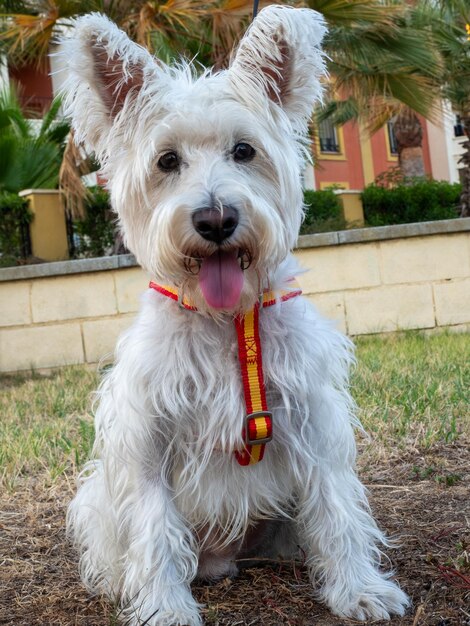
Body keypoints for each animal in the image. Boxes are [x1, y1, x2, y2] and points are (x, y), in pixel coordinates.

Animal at [61, 6, 408, 624]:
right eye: (167, 160)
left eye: (244, 151)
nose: (215, 219)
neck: (224, 319)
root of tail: (222, 559)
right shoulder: (147, 440)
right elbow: (154, 528)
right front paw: (164, 607)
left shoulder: (312, 418)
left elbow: (337, 509)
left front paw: (359, 588)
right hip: (98, 496)